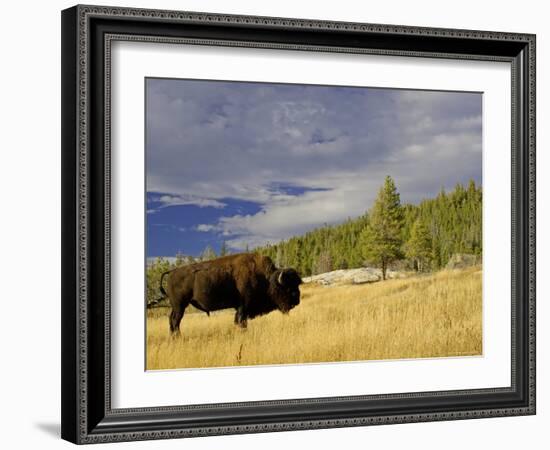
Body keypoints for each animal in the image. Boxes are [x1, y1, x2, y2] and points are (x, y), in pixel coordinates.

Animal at [160, 253, 304, 334]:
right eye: (287, 288)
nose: (297, 301)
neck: (266, 278)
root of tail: (171, 272)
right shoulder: (243, 306)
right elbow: (241, 322)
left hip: (177, 307)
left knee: (172, 320)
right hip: (180, 306)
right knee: (175, 321)